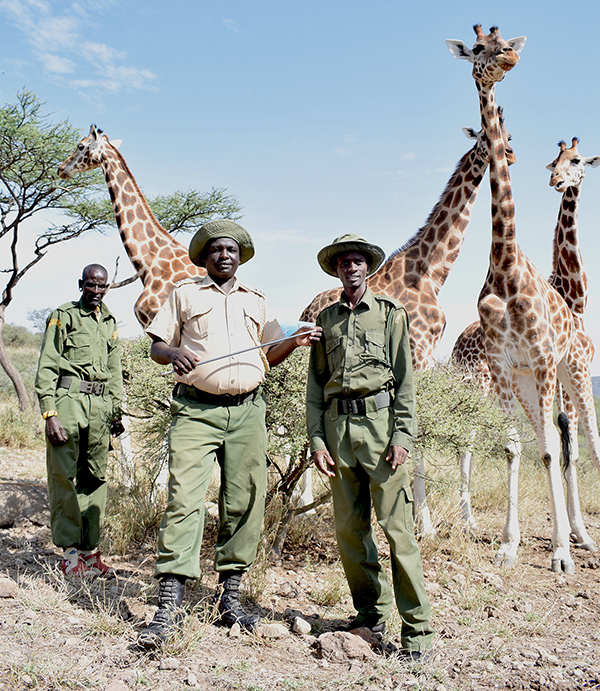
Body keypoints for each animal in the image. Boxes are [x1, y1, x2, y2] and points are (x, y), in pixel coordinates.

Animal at [448, 24, 600, 572]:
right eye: (478, 47)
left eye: (503, 40)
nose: (509, 58)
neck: (506, 267)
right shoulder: (504, 364)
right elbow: (517, 449)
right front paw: (510, 544)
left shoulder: (541, 358)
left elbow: (554, 450)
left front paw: (561, 551)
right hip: (520, 382)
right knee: (536, 442)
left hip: (562, 376)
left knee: (580, 443)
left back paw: (577, 536)